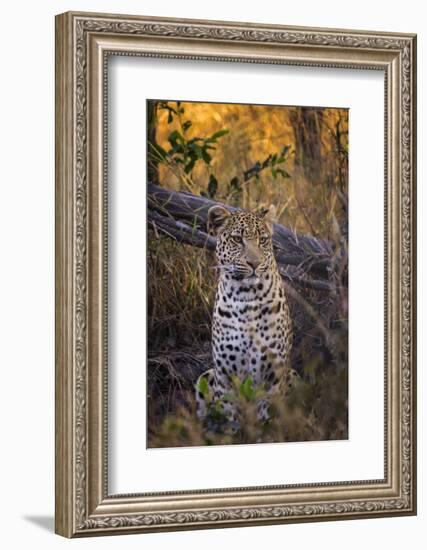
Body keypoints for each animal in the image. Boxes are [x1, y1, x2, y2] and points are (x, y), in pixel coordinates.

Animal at [196, 204, 296, 432]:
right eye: (236, 239)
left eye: (263, 240)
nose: (254, 263)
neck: (247, 298)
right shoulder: (225, 377)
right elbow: (230, 419)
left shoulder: (274, 376)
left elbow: (268, 421)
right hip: (206, 375)